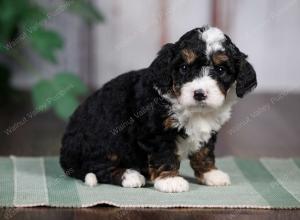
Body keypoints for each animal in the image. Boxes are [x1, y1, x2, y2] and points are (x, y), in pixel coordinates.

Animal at [59, 25, 256, 192]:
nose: (199, 94)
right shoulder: (155, 132)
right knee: (96, 166)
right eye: (184, 68)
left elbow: (204, 151)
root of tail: (65, 156)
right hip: (104, 140)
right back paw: (130, 176)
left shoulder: (208, 131)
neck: (192, 109)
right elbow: (164, 154)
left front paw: (211, 173)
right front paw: (170, 180)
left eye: (221, 70)